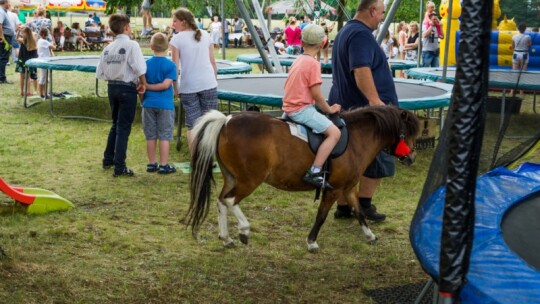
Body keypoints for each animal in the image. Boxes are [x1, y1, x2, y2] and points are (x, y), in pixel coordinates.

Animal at [188, 106, 420, 252]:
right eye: (407, 133)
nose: (411, 157)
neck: (356, 139)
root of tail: (226, 121)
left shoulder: (348, 188)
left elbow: (359, 211)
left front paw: (370, 235)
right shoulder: (334, 189)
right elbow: (321, 215)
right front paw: (312, 242)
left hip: (232, 178)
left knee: (221, 201)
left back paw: (226, 238)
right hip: (249, 180)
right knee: (230, 200)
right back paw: (244, 230)